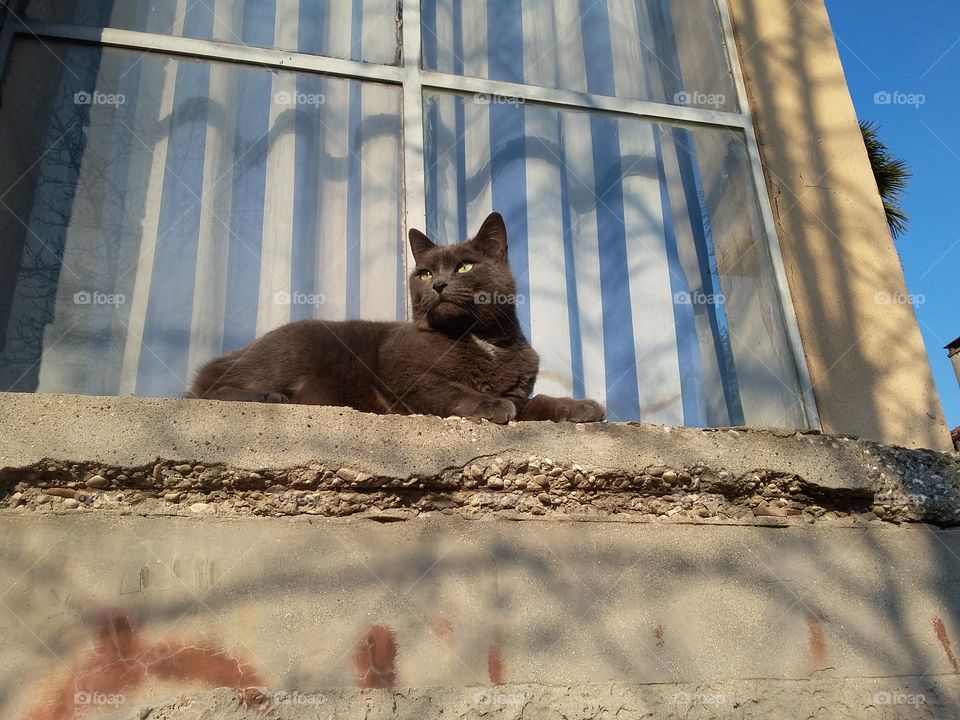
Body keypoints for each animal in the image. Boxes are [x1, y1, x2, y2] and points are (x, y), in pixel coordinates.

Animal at [188, 211, 604, 424]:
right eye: (424, 272)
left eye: (465, 266)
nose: (437, 283)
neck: (482, 341)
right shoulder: (402, 374)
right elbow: (449, 389)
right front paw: (489, 405)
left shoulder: (519, 392)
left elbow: (537, 402)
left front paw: (581, 406)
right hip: (291, 349)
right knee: (205, 388)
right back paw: (270, 396)